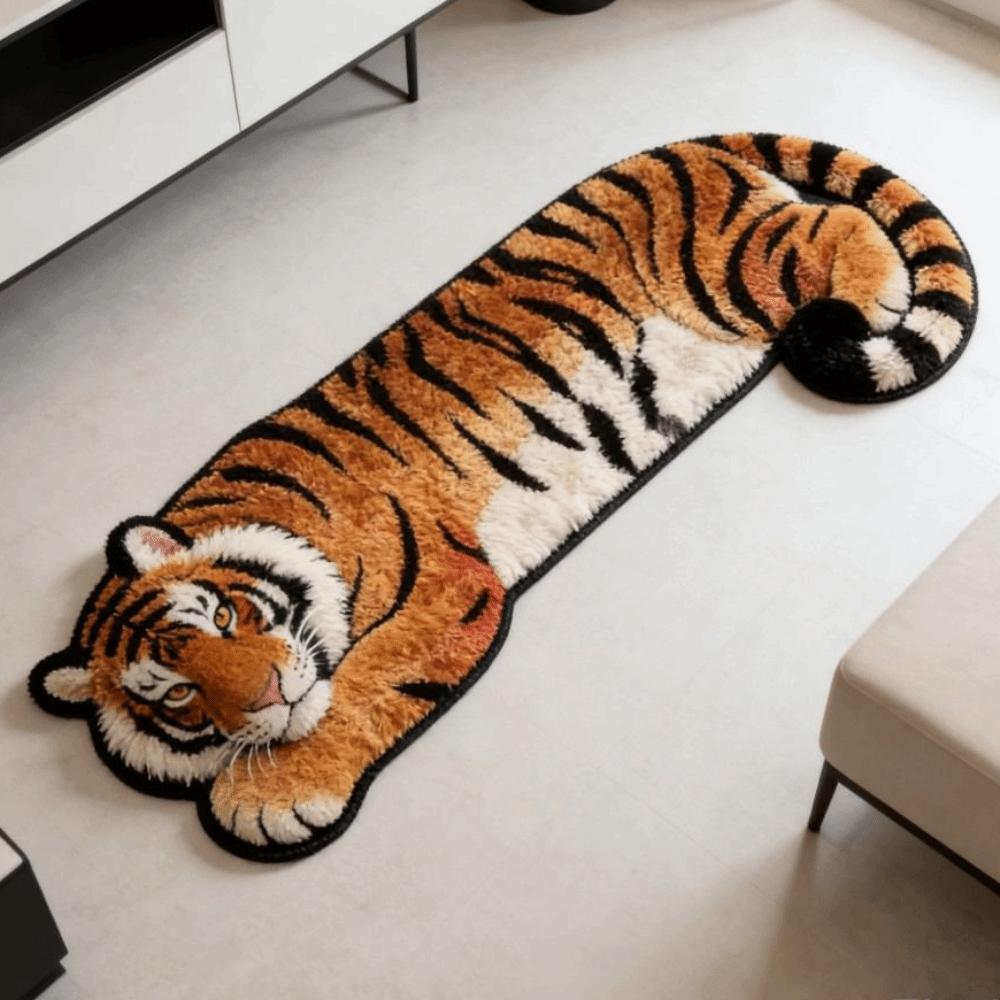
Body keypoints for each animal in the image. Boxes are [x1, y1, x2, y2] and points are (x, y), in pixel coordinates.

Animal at [29, 133, 977, 861]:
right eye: (176, 697)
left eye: (226, 619)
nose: (265, 699)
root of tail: (688, 144)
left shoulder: (444, 586)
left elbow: (363, 685)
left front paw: (270, 798)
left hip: (740, 273)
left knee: (838, 223)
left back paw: (871, 300)